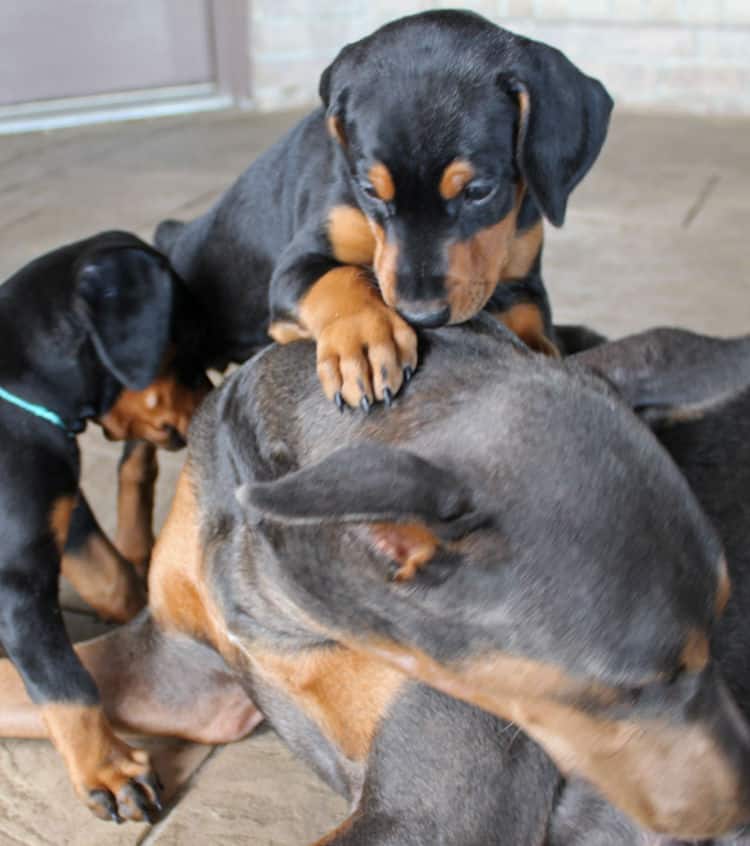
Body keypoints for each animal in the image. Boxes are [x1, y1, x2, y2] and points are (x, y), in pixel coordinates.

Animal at [0, 230, 210, 820]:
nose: (215, 400)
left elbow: (109, 569)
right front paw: (110, 771)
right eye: (187, 348)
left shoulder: (55, 500)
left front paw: (139, 608)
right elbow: (64, 680)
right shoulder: (17, 585)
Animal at [4, 318, 750, 840]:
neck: (275, 598)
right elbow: (44, 682)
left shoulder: (430, 810)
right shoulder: (182, 667)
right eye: (627, 691)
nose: (742, 806)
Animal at [157, 9, 612, 410]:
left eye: (479, 191)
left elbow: (532, 328)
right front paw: (363, 340)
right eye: (369, 190)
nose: (421, 314)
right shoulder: (297, 263)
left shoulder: (522, 283)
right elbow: (338, 276)